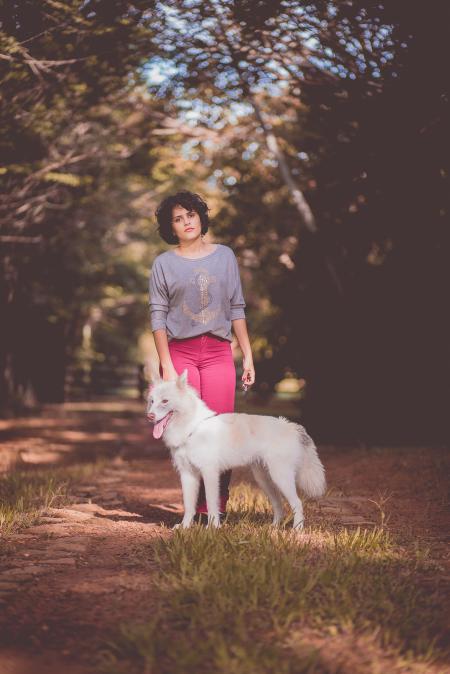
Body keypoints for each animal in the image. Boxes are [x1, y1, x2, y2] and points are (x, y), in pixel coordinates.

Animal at [148, 370, 326, 528]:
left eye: (165, 401)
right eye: (152, 401)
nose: (149, 416)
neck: (193, 428)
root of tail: (291, 426)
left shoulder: (209, 473)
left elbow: (212, 504)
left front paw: (212, 528)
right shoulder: (187, 475)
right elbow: (189, 506)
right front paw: (185, 527)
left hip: (281, 477)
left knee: (297, 503)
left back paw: (297, 530)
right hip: (265, 479)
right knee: (278, 504)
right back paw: (274, 528)